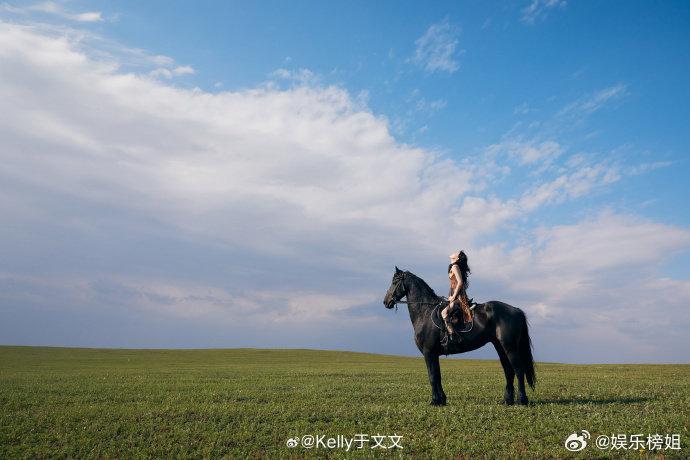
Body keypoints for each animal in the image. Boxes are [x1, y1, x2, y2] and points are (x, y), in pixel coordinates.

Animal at [382, 266, 532, 406]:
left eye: (394, 281)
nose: (386, 301)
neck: (425, 312)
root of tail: (516, 310)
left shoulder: (428, 352)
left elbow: (432, 376)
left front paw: (435, 401)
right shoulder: (434, 354)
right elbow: (438, 376)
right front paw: (441, 400)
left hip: (510, 347)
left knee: (518, 370)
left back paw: (522, 400)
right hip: (500, 347)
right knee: (509, 371)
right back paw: (507, 400)